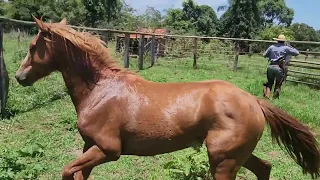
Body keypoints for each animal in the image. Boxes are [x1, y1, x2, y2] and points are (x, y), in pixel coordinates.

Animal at [15, 16, 320, 179]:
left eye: (32, 47)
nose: (19, 77)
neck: (100, 90)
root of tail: (255, 101)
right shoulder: (89, 146)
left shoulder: (107, 150)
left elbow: (68, 170)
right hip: (234, 155)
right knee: (264, 168)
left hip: (223, 160)